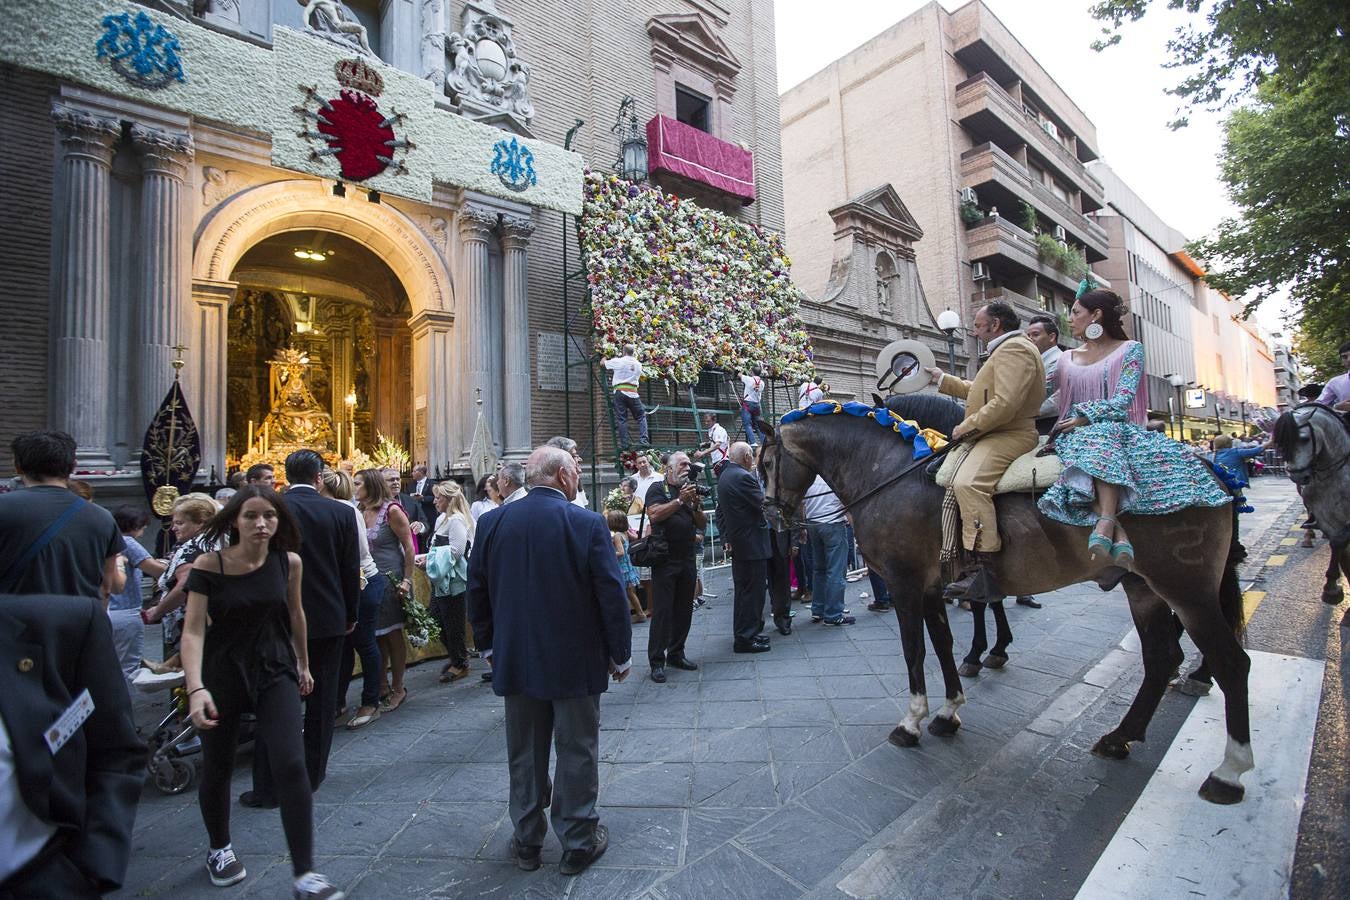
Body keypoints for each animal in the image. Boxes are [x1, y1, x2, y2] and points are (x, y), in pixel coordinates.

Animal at [761, 396, 1252, 804]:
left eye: (767, 461)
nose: (771, 516)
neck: (886, 474)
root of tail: (1211, 470)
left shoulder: (905, 584)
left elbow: (915, 650)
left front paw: (912, 722)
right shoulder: (931, 588)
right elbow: (943, 646)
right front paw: (949, 712)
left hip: (1186, 588)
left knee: (1230, 662)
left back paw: (1228, 772)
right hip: (1143, 588)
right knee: (1161, 658)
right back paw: (1119, 737)